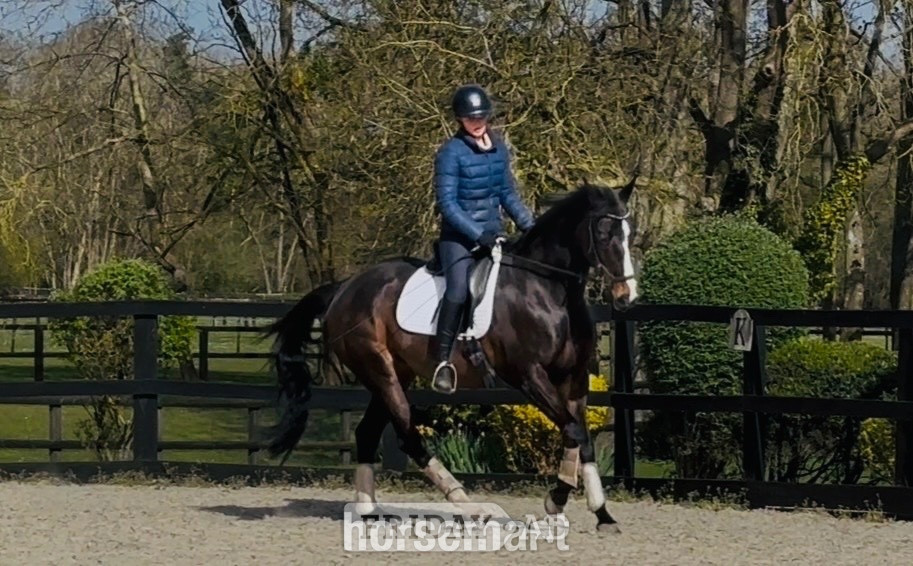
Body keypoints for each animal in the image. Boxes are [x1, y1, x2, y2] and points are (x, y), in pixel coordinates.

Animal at [264, 180, 638, 532]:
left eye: (629, 234)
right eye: (603, 233)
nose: (626, 296)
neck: (547, 290)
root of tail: (344, 288)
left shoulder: (573, 378)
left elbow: (582, 438)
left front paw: (602, 514)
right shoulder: (529, 376)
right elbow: (574, 431)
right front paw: (555, 500)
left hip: (395, 374)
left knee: (368, 433)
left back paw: (369, 512)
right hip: (380, 371)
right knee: (409, 436)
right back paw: (470, 505)